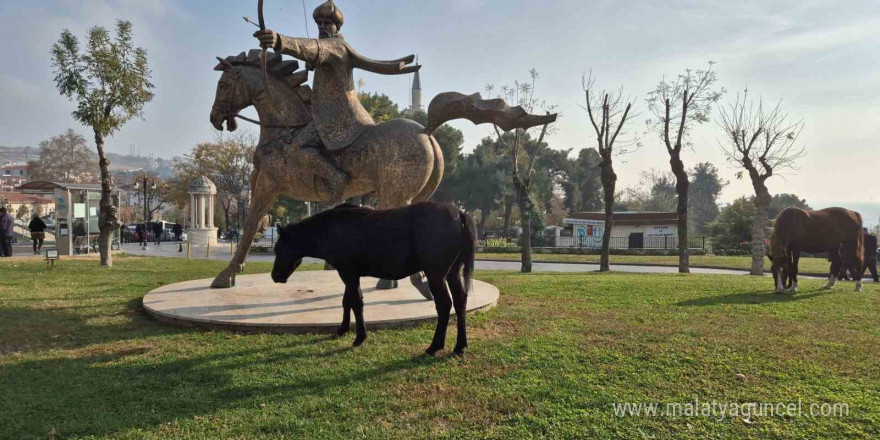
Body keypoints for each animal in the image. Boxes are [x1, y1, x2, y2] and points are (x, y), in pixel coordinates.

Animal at [272, 202, 478, 354]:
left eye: (278, 248)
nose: (275, 276)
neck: (331, 228)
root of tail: (459, 214)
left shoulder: (347, 273)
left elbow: (356, 302)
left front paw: (359, 337)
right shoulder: (350, 274)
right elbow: (348, 301)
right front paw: (343, 329)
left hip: (436, 274)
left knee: (444, 304)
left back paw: (435, 346)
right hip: (453, 272)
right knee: (460, 301)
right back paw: (460, 345)